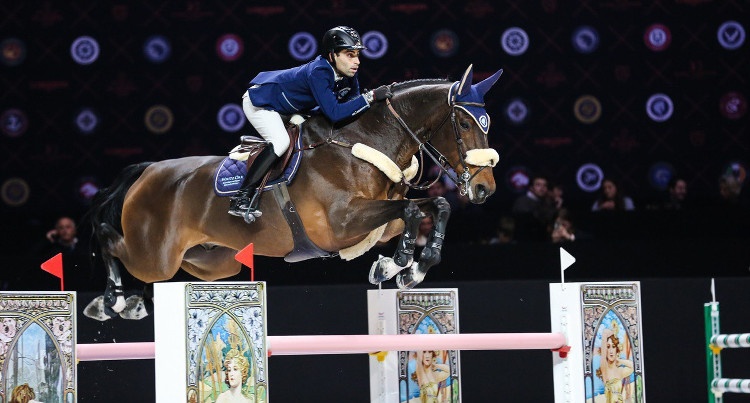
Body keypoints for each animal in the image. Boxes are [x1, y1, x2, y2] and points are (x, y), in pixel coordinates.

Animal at [85, 64, 502, 322]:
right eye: (465, 123)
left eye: (487, 123)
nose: (484, 188)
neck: (363, 142)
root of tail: (148, 170)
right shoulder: (340, 224)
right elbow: (413, 211)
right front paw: (398, 264)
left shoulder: (376, 218)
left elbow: (434, 206)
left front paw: (404, 269)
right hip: (156, 254)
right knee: (109, 238)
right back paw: (109, 301)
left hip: (210, 261)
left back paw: (133, 301)